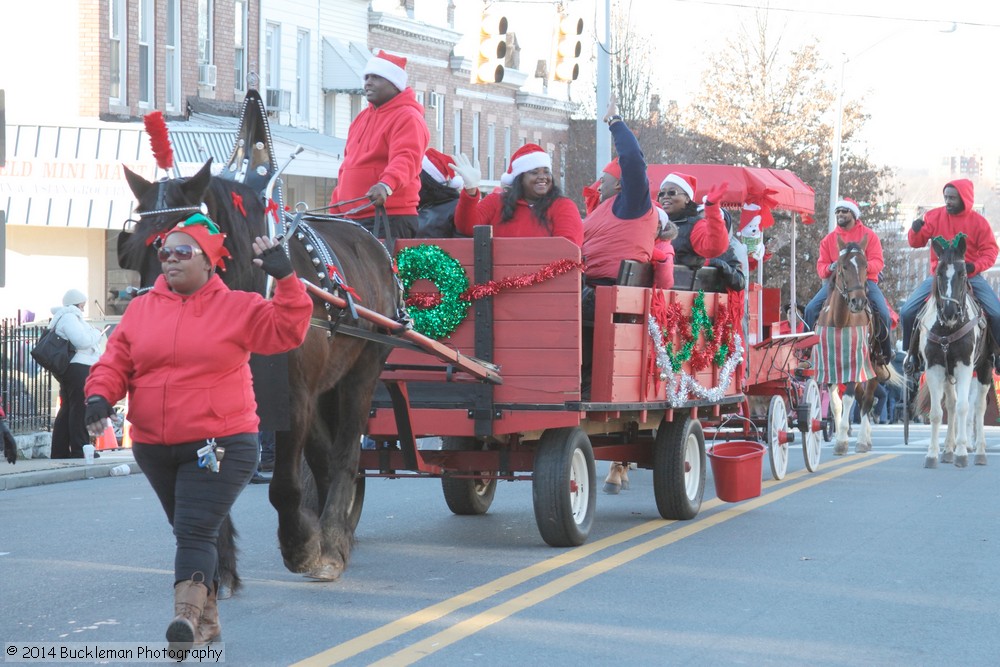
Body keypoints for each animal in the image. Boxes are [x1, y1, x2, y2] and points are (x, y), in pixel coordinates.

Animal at [123, 159, 404, 580]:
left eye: (179, 249)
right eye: (136, 249)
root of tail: (376, 246)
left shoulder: (292, 399)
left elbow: (284, 484)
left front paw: (300, 547)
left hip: (363, 370)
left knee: (345, 455)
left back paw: (332, 542)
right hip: (323, 387)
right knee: (324, 458)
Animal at [916, 237, 992, 468]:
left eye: (963, 273)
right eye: (939, 273)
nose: (949, 312)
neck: (948, 328)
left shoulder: (965, 366)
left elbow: (963, 408)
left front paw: (962, 452)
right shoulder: (934, 368)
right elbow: (937, 413)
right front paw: (932, 455)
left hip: (984, 369)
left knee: (978, 408)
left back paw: (979, 451)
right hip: (948, 374)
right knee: (950, 404)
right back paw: (948, 449)